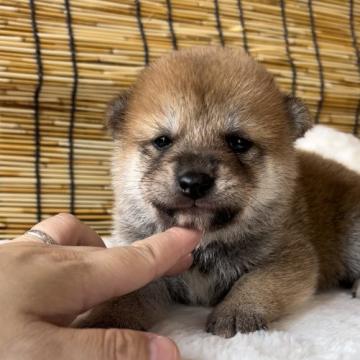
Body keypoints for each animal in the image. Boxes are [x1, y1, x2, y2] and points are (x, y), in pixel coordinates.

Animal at [79, 46, 360, 336]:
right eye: (162, 141)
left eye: (238, 142)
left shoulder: (289, 257)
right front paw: (107, 318)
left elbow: (257, 281)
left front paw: (237, 311)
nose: (194, 181)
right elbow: (128, 294)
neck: (204, 245)